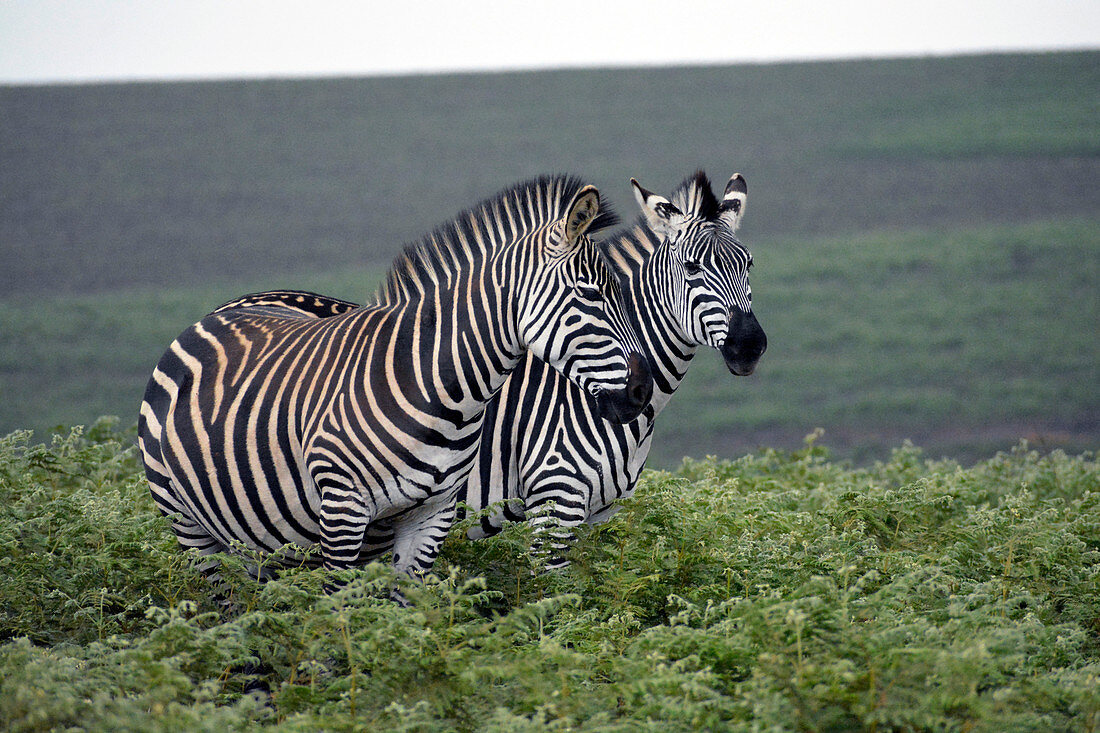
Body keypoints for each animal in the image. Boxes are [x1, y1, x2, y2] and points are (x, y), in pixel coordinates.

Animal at [137, 172, 651, 589]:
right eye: (591, 294)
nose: (641, 390)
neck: (441, 390)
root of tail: (210, 317)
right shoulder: (342, 509)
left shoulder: (431, 514)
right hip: (189, 527)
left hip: (254, 535)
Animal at [212, 168, 765, 567]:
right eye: (691, 268)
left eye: (750, 265)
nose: (750, 346)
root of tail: (232, 306)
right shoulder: (555, 501)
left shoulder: (596, 516)